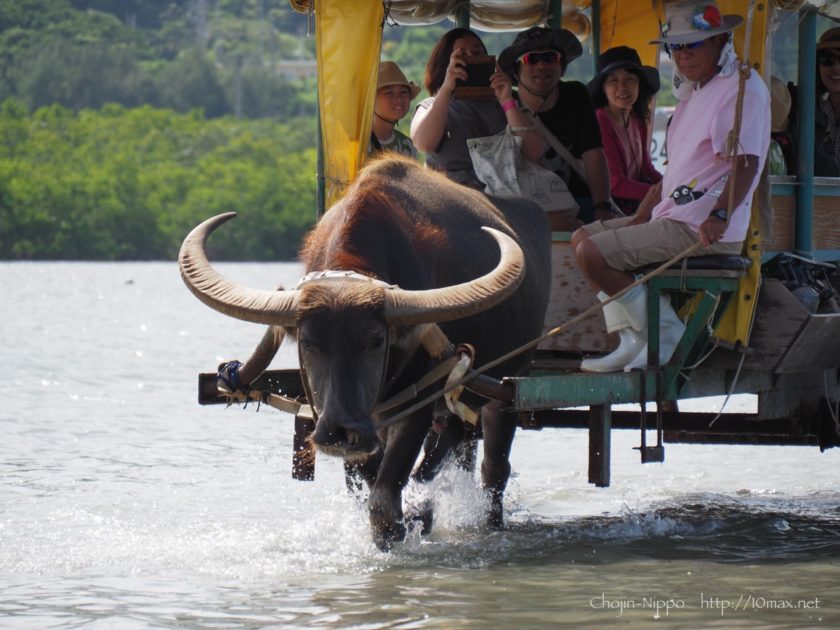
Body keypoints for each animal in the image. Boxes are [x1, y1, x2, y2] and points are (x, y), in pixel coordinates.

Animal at [180, 156, 552, 552]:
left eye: (374, 340)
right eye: (309, 343)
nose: (341, 431)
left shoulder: (416, 403)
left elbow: (385, 501)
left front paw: (407, 523)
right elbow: (369, 487)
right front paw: (414, 516)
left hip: (507, 386)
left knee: (492, 468)